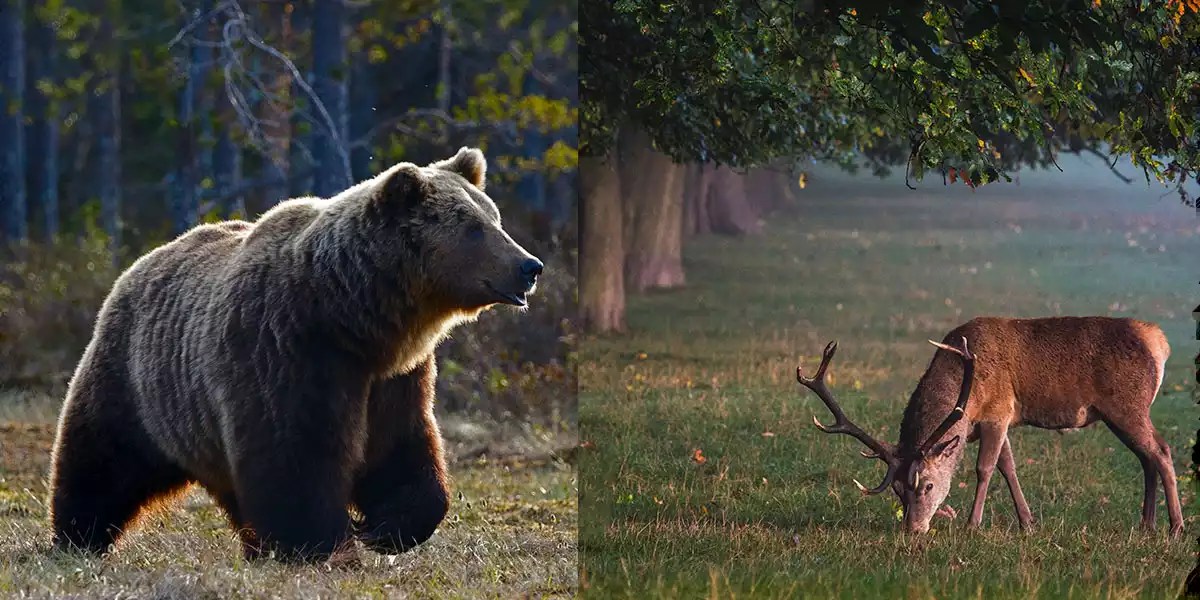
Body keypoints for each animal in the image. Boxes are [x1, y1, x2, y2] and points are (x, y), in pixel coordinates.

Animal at [47, 147, 543, 562]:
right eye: (473, 228)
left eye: (495, 218)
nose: (530, 265)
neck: (353, 317)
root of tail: (140, 263)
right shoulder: (286, 350)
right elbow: (294, 454)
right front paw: (319, 544)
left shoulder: (394, 377)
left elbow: (401, 448)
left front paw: (385, 529)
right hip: (136, 382)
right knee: (102, 460)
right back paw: (77, 537)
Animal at [795, 316, 1182, 537]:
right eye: (898, 490)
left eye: (928, 484)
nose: (913, 530)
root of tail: (1159, 341)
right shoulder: (993, 422)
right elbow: (1008, 467)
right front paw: (1028, 523)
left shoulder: (998, 411)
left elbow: (985, 468)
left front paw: (972, 524)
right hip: (1118, 413)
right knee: (1146, 458)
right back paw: (1147, 525)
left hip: (1128, 405)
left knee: (1161, 451)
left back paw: (1175, 527)